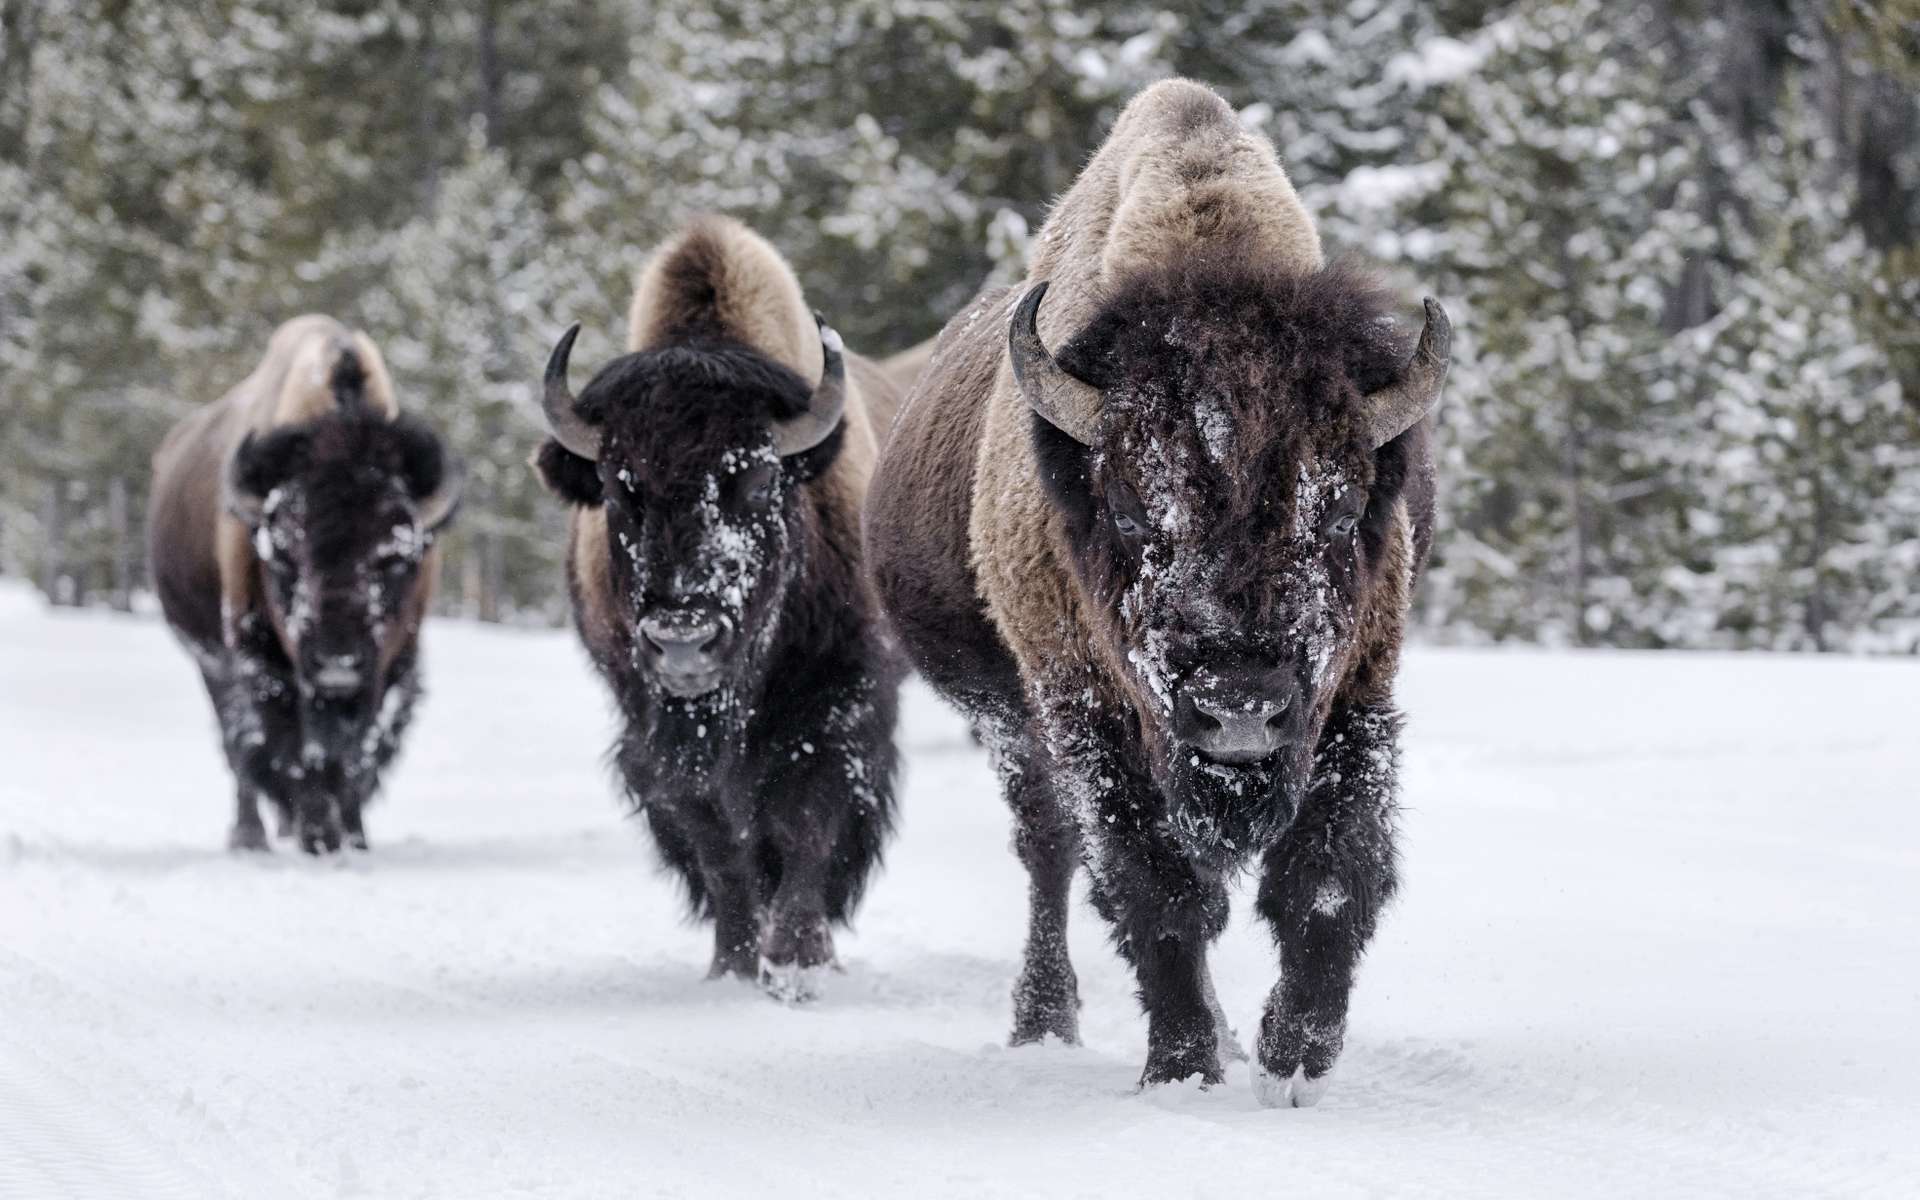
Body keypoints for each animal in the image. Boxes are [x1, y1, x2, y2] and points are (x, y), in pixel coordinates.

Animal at [148, 315, 463, 853]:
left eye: (397, 558)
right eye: (282, 557)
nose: (337, 663)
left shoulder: (389, 665)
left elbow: (357, 753)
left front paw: (350, 837)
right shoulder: (263, 661)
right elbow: (293, 746)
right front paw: (317, 834)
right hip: (208, 659)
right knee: (237, 746)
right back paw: (251, 836)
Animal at [534, 216, 904, 1000]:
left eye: (758, 478)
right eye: (618, 485)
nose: (682, 639)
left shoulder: (841, 705)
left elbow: (805, 821)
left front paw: (798, 960)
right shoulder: (650, 731)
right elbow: (717, 840)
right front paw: (733, 963)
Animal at [865, 80, 1451, 1102]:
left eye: (1341, 509)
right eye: (1136, 509)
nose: (1241, 705)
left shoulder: (1354, 697)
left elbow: (1329, 877)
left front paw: (1292, 1058)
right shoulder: (1092, 715)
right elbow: (1155, 888)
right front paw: (1183, 1066)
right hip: (1010, 722)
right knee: (1050, 852)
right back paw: (1045, 1021)